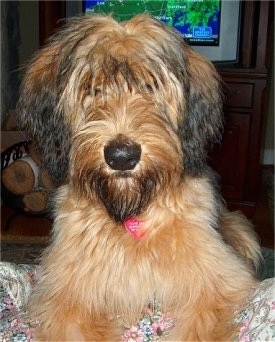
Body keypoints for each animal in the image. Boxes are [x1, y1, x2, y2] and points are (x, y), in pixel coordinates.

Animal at [18, 14, 262, 342]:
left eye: (150, 85)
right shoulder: (66, 296)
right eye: (92, 88)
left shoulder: (218, 284)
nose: (121, 156)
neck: (129, 211)